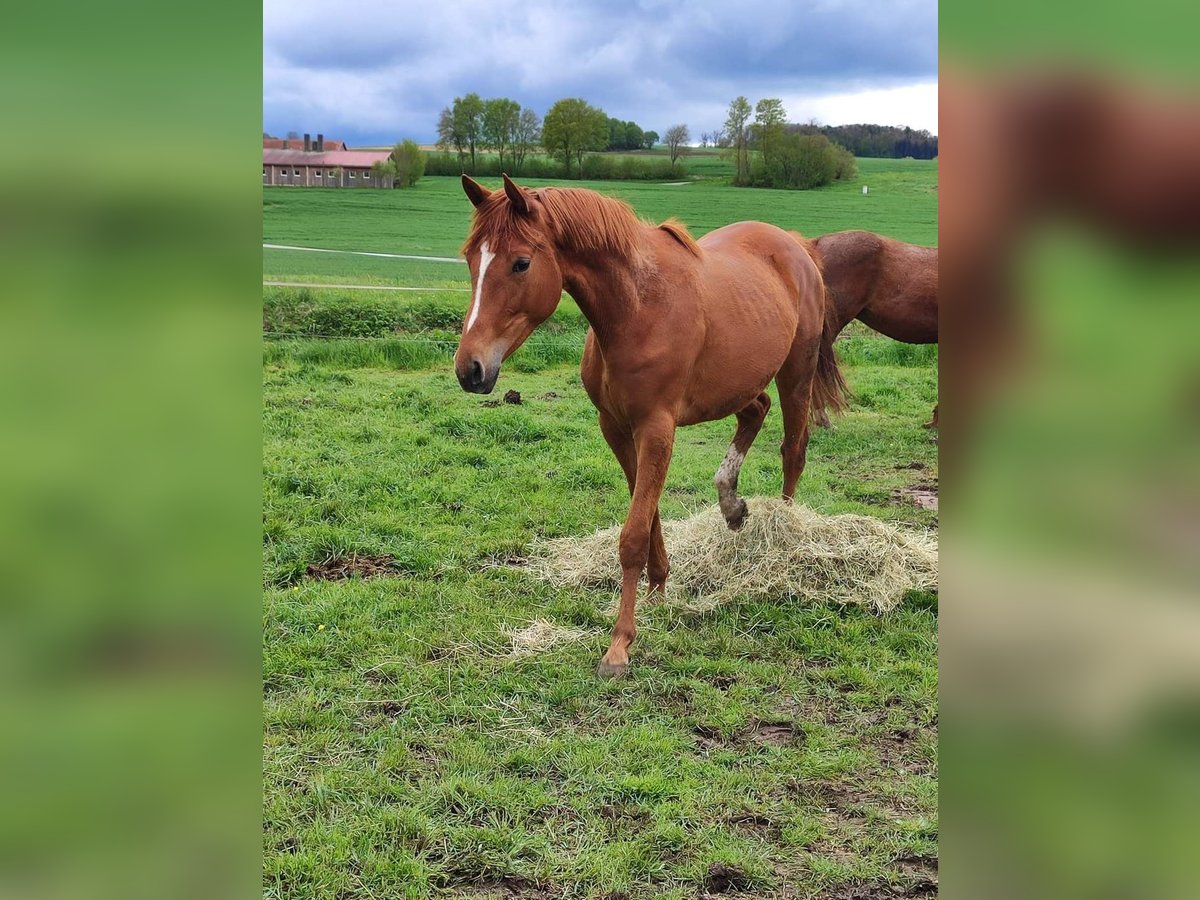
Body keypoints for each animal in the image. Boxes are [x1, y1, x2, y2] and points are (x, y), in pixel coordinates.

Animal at [453, 176, 849, 676]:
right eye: (471, 257)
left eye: (521, 263)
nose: (470, 369)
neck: (637, 308)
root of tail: (795, 245)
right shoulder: (617, 428)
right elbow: (649, 512)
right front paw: (658, 590)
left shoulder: (657, 429)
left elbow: (634, 533)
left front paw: (620, 644)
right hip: (740, 383)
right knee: (754, 412)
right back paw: (731, 504)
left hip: (796, 376)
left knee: (793, 452)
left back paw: (784, 540)